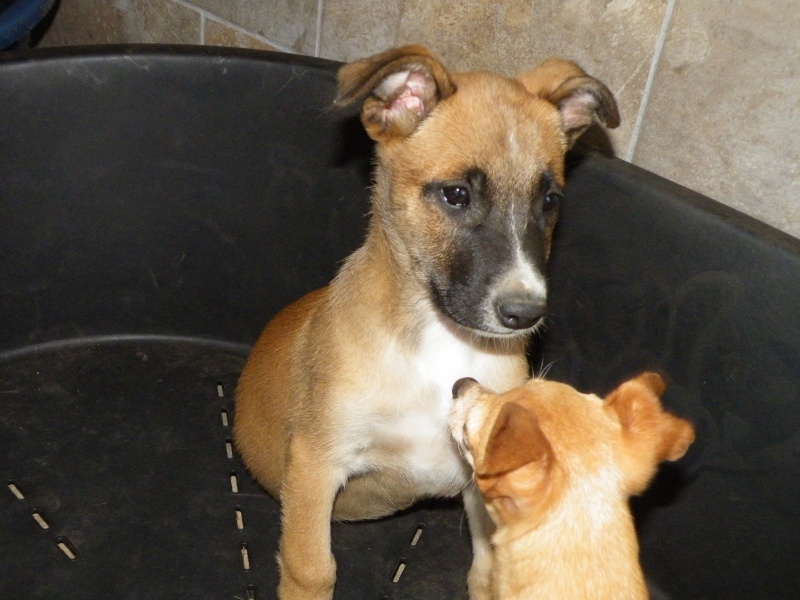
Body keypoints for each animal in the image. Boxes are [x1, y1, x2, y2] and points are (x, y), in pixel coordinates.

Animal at [231, 45, 620, 600]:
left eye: (549, 201)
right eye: (455, 195)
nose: (525, 313)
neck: (439, 347)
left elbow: (491, 575)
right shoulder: (314, 462)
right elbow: (312, 568)